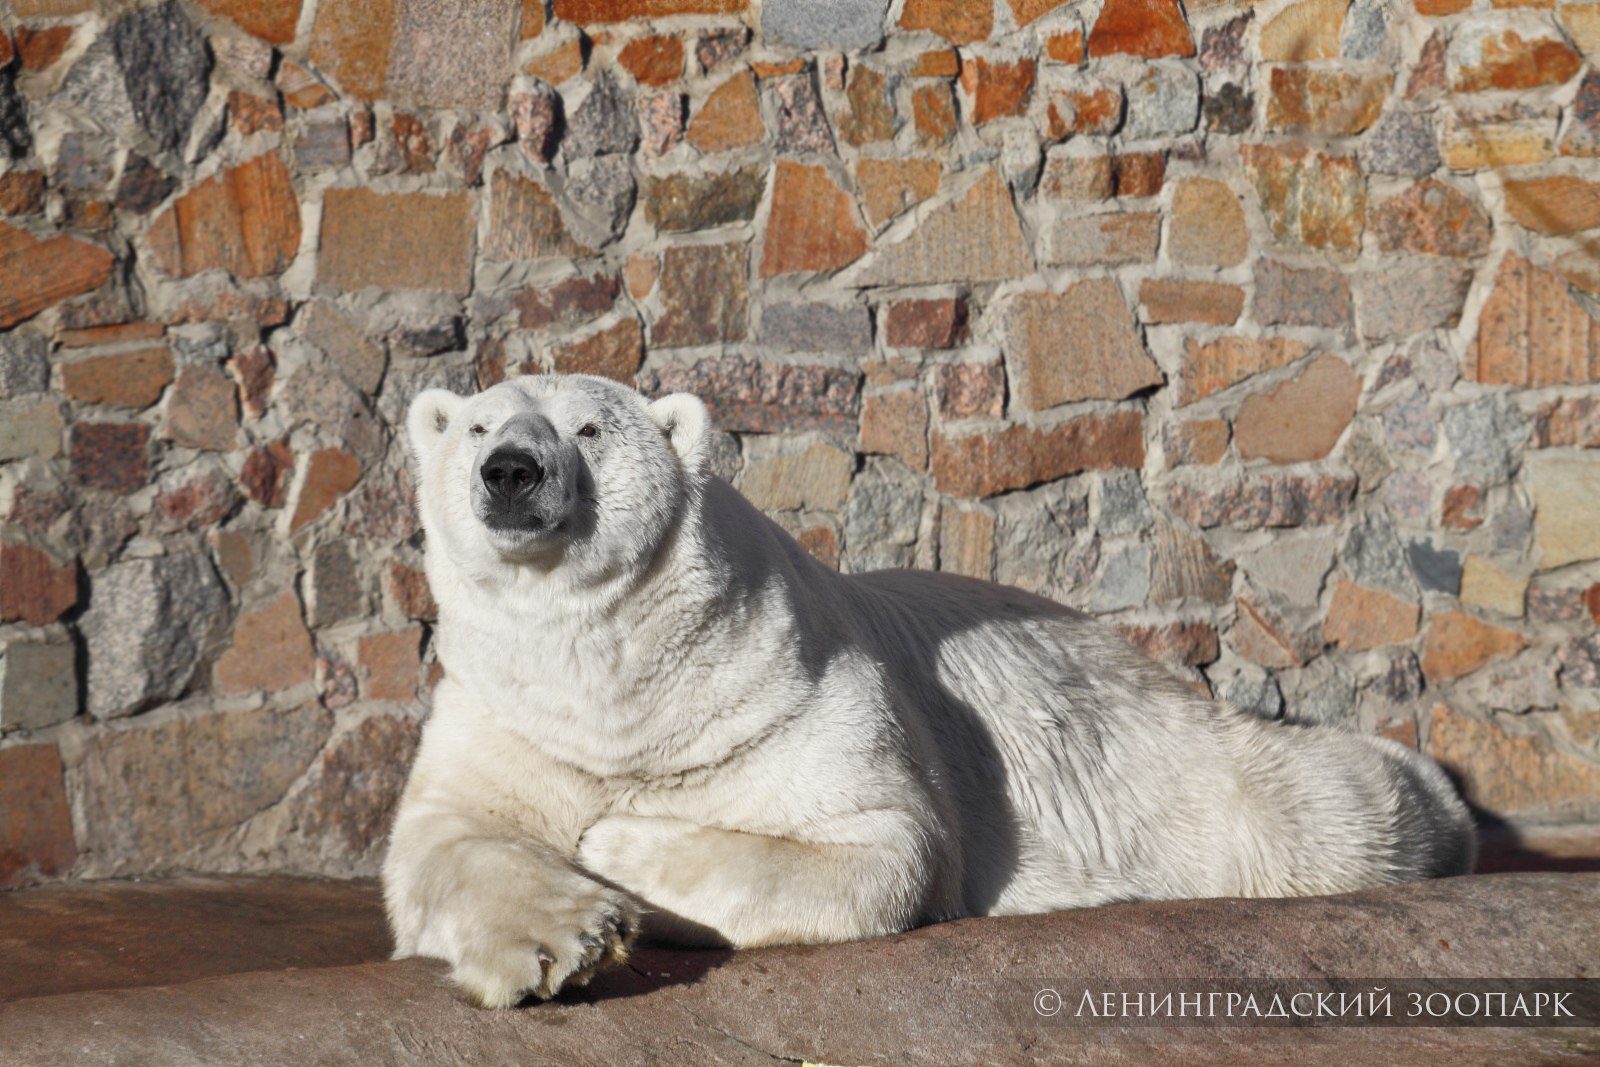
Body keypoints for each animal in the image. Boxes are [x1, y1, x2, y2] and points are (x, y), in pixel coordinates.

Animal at [384, 374, 1472, 1011]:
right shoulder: (508, 712)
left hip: (1168, 767)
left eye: (589, 426)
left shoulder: (787, 686)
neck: (623, 676)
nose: (511, 470)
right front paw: (561, 939)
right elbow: (447, 839)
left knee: (1318, 807)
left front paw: (615, 843)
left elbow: (881, 847)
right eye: (476, 423)